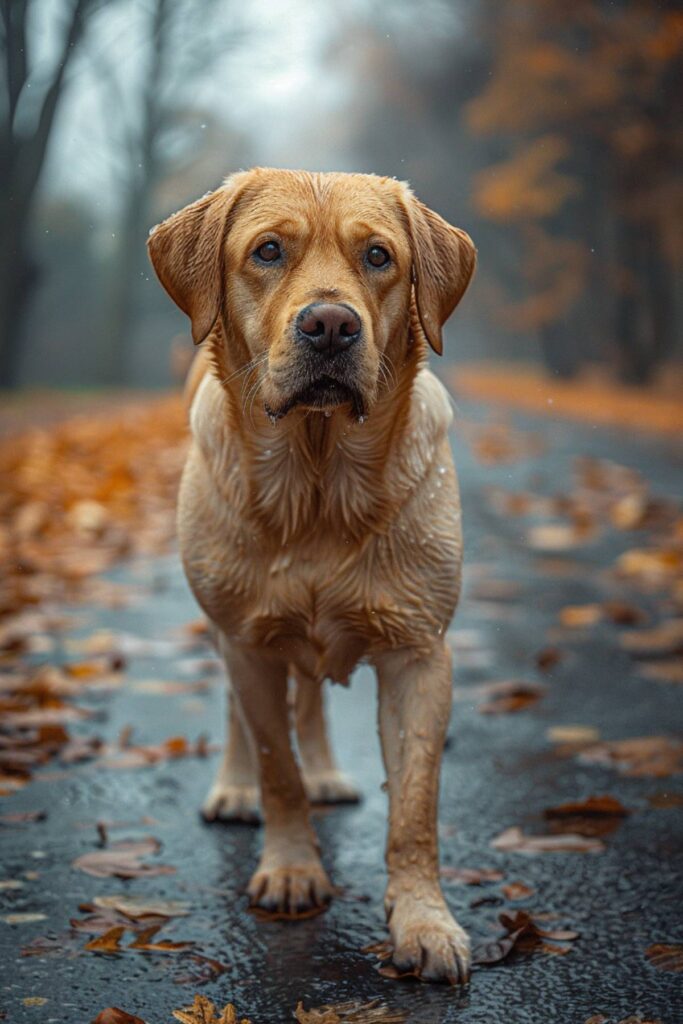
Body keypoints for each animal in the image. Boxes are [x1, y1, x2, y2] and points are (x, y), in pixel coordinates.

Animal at [149, 167, 479, 983]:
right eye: (268, 251)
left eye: (379, 256)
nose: (330, 325)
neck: (319, 486)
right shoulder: (247, 642)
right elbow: (277, 767)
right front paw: (292, 869)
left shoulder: (420, 652)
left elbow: (415, 805)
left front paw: (424, 922)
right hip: (228, 623)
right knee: (243, 718)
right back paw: (233, 788)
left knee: (314, 704)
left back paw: (328, 771)